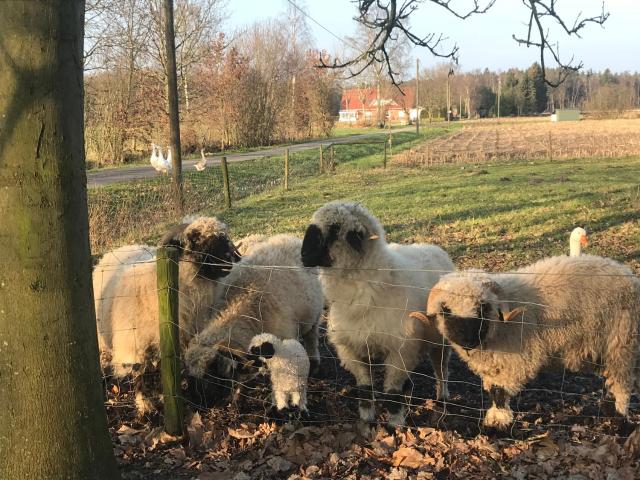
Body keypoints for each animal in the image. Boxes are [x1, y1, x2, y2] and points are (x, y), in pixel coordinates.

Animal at [92, 216, 238, 414]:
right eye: (196, 239)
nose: (228, 261)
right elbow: (140, 374)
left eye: (224, 238)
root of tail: (118, 249)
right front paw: (144, 405)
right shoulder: (136, 344)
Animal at [302, 201, 456, 426]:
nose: (303, 256)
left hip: (440, 341)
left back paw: (442, 395)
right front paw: (367, 419)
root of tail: (434, 247)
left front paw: (395, 424)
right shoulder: (352, 348)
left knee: (441, 368)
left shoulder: (400, 349)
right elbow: (365, 389)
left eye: (334, 229)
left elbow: (392, 393)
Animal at [412, 256, 640, 434]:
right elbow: (493, 390)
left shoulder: (515, 361)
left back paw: (619, 421)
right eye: (445, 309)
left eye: (483, 306)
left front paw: (497, 423)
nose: (467, 341)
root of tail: (627, 273)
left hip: (621, 344)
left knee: (622, 385)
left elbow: (499, 392)